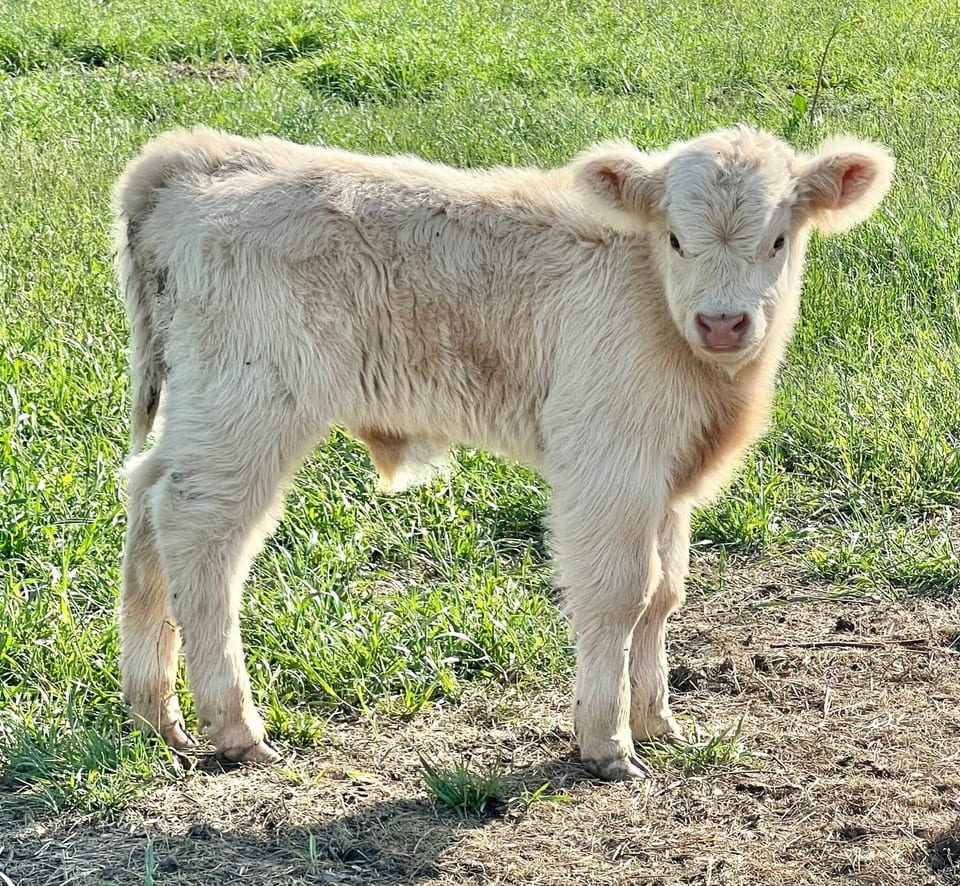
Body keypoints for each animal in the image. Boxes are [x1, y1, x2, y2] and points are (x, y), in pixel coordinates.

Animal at [114, 124, 893, 780]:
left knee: (147, 502)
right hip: (247, 411)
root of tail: (203, 154)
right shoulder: (607, 465)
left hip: (201, 409)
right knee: (198, 533)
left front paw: (660, 724)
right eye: (675, 238)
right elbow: (620, 594)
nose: (723, 322)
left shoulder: (668, 479)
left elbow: (664, 594)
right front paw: (608, 743)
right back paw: (236, 729)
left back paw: (156, 716)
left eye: (778, 239)